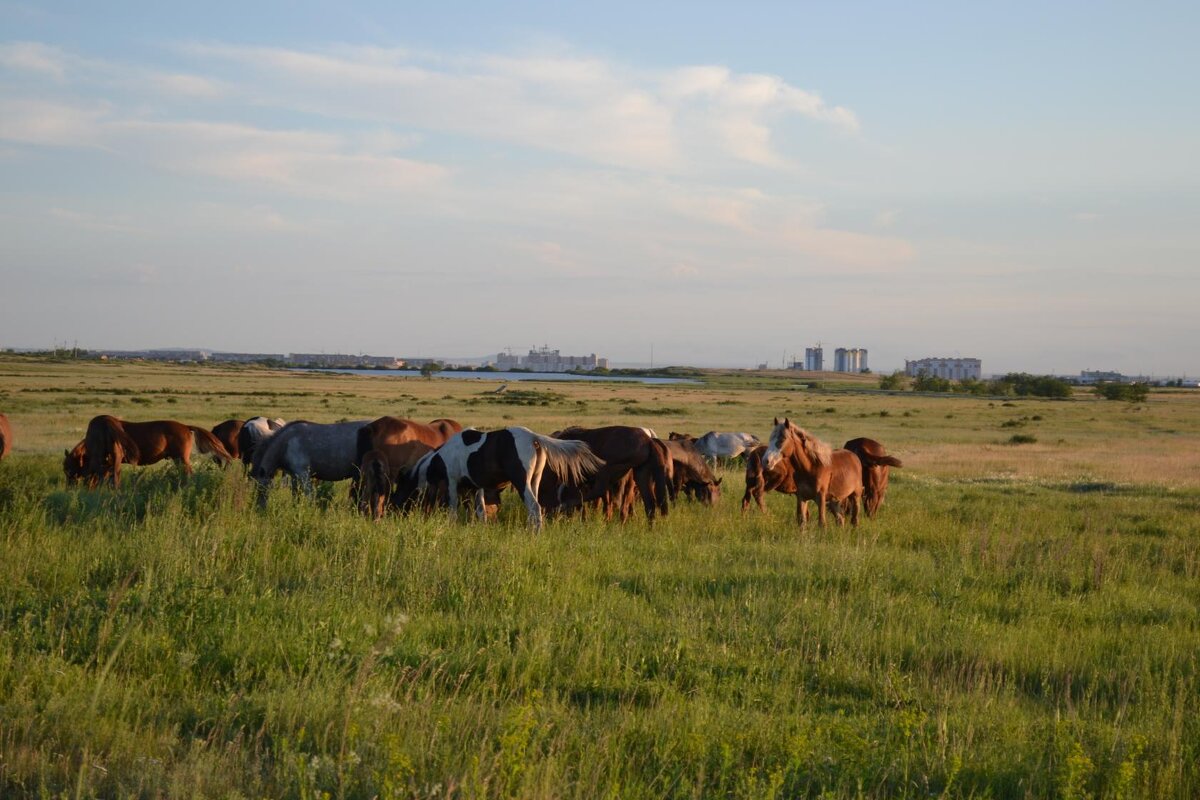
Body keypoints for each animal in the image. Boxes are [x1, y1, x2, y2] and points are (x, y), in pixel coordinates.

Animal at [429, 424, 604, 532]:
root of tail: (534, 438)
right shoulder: (476, 486)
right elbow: (480, 509)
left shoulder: (453, 481)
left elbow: (454, 507)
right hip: (534, 481)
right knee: (535, 508)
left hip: (522, 482)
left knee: (534, 507)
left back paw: (535, 534)